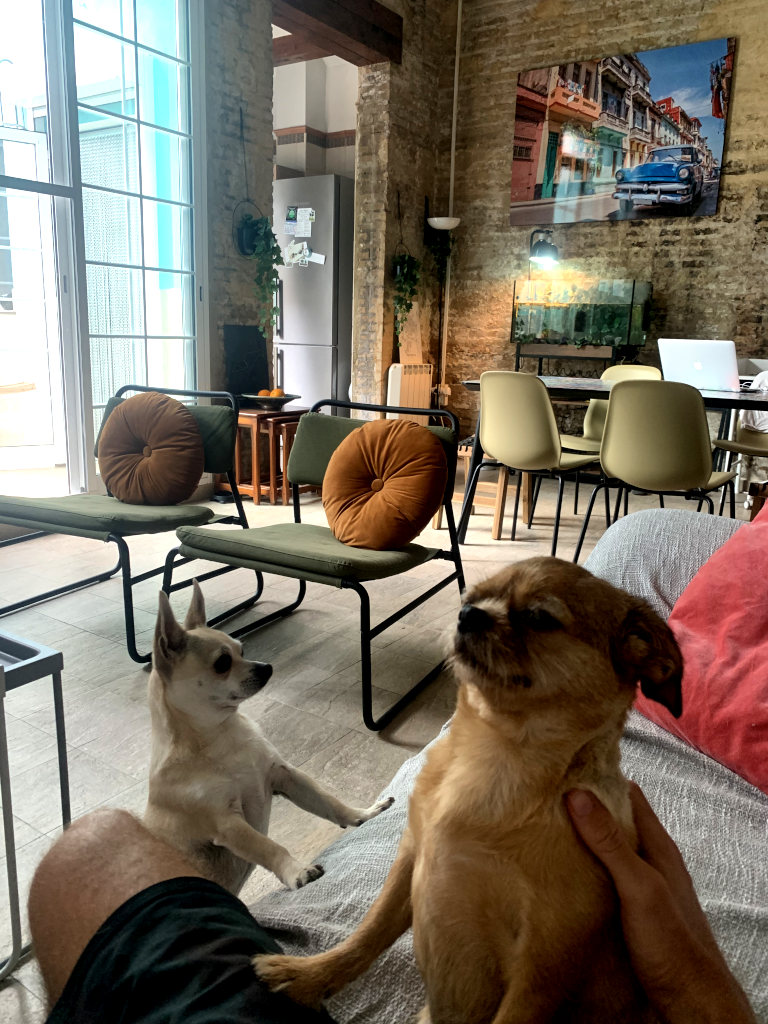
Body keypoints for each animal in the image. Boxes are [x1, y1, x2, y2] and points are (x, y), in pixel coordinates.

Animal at [145, 585, 397, 897]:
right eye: (222, 663)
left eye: (242, 649)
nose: (265, 667)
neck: (220, 734)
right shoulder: (227, 824)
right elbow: (268, 847)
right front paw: (296, 871)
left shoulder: (284, 776)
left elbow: (329, 802)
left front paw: (364, 814)